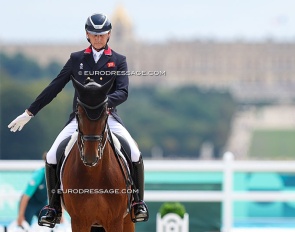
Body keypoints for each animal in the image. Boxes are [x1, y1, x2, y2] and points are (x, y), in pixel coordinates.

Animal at [63, 77, 136, 231]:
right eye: (79, 114)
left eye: (104, 115)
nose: (90, 157)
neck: (94, 175)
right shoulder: (79, 221)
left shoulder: (115, 221)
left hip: (128, 220)